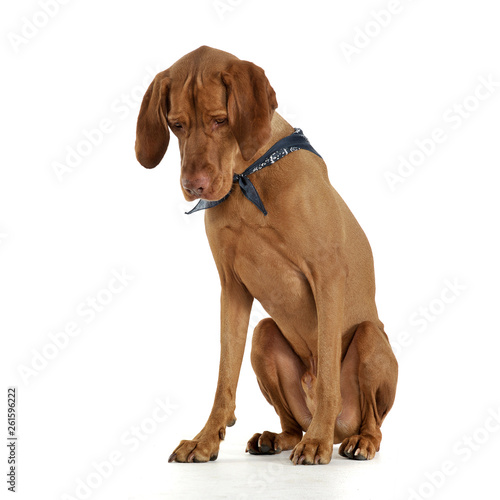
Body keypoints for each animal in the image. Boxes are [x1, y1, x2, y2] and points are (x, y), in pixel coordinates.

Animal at [135, 46, 396, 464]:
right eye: (175, 125)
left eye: (220, 120)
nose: (194, 186)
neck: (247, 178)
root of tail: (343, 429)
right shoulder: (232, 289)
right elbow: (224, 377)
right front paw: (205, 439)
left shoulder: (327, 277)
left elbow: (328, 377)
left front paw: (316, 442)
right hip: (264, 336)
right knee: (291, 422)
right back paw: (277, 437)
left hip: (371, 338)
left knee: (372, 420)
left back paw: (351, 440)